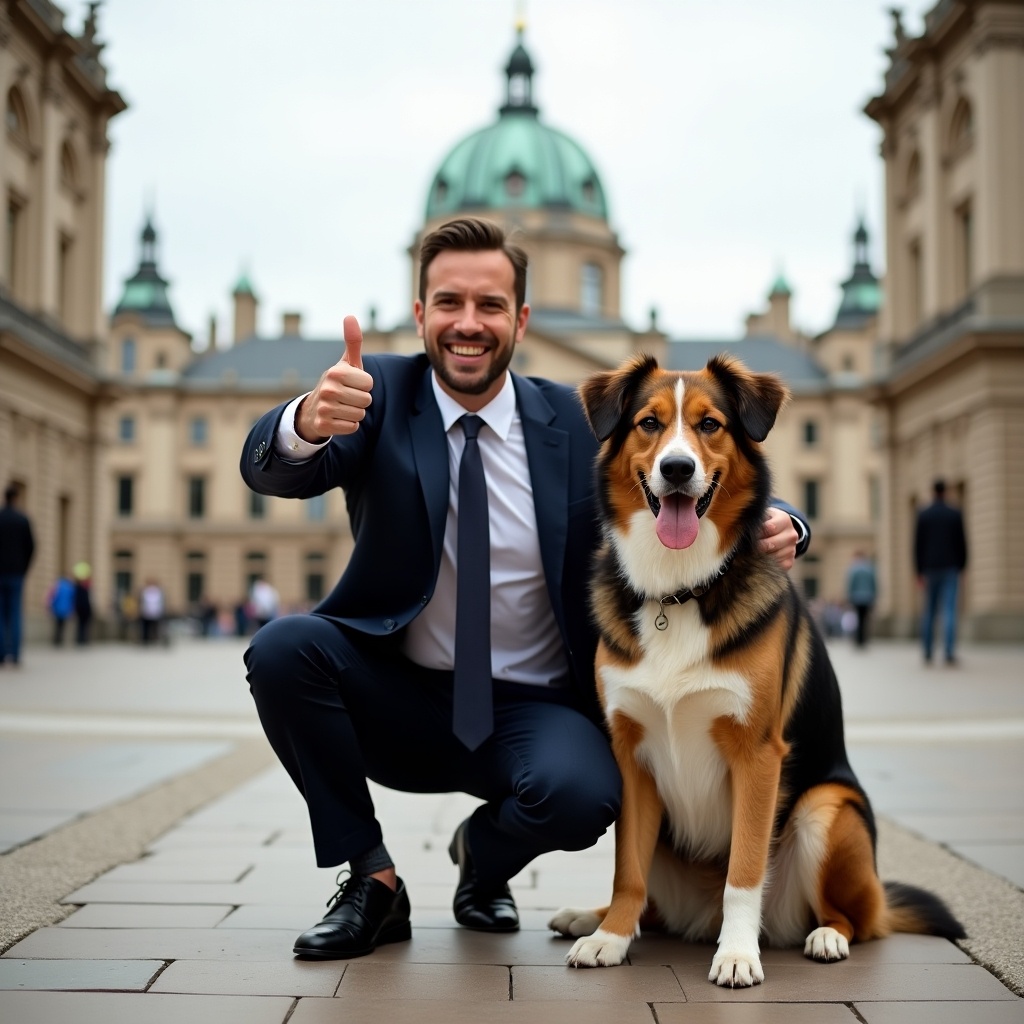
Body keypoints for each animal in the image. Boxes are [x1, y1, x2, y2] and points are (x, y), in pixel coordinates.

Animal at [548, 352, 962, 983]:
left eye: (710, 424)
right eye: (649, 423)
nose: (676, 468)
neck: (679, 591)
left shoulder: (758, 756)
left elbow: (743, 872)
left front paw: (738, 953)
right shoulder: (631, 755)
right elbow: (627, 873)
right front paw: (610, 938)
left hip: (825, 810)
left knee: (857, 919)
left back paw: (825, 937)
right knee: (654, 906)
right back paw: (586, 917)